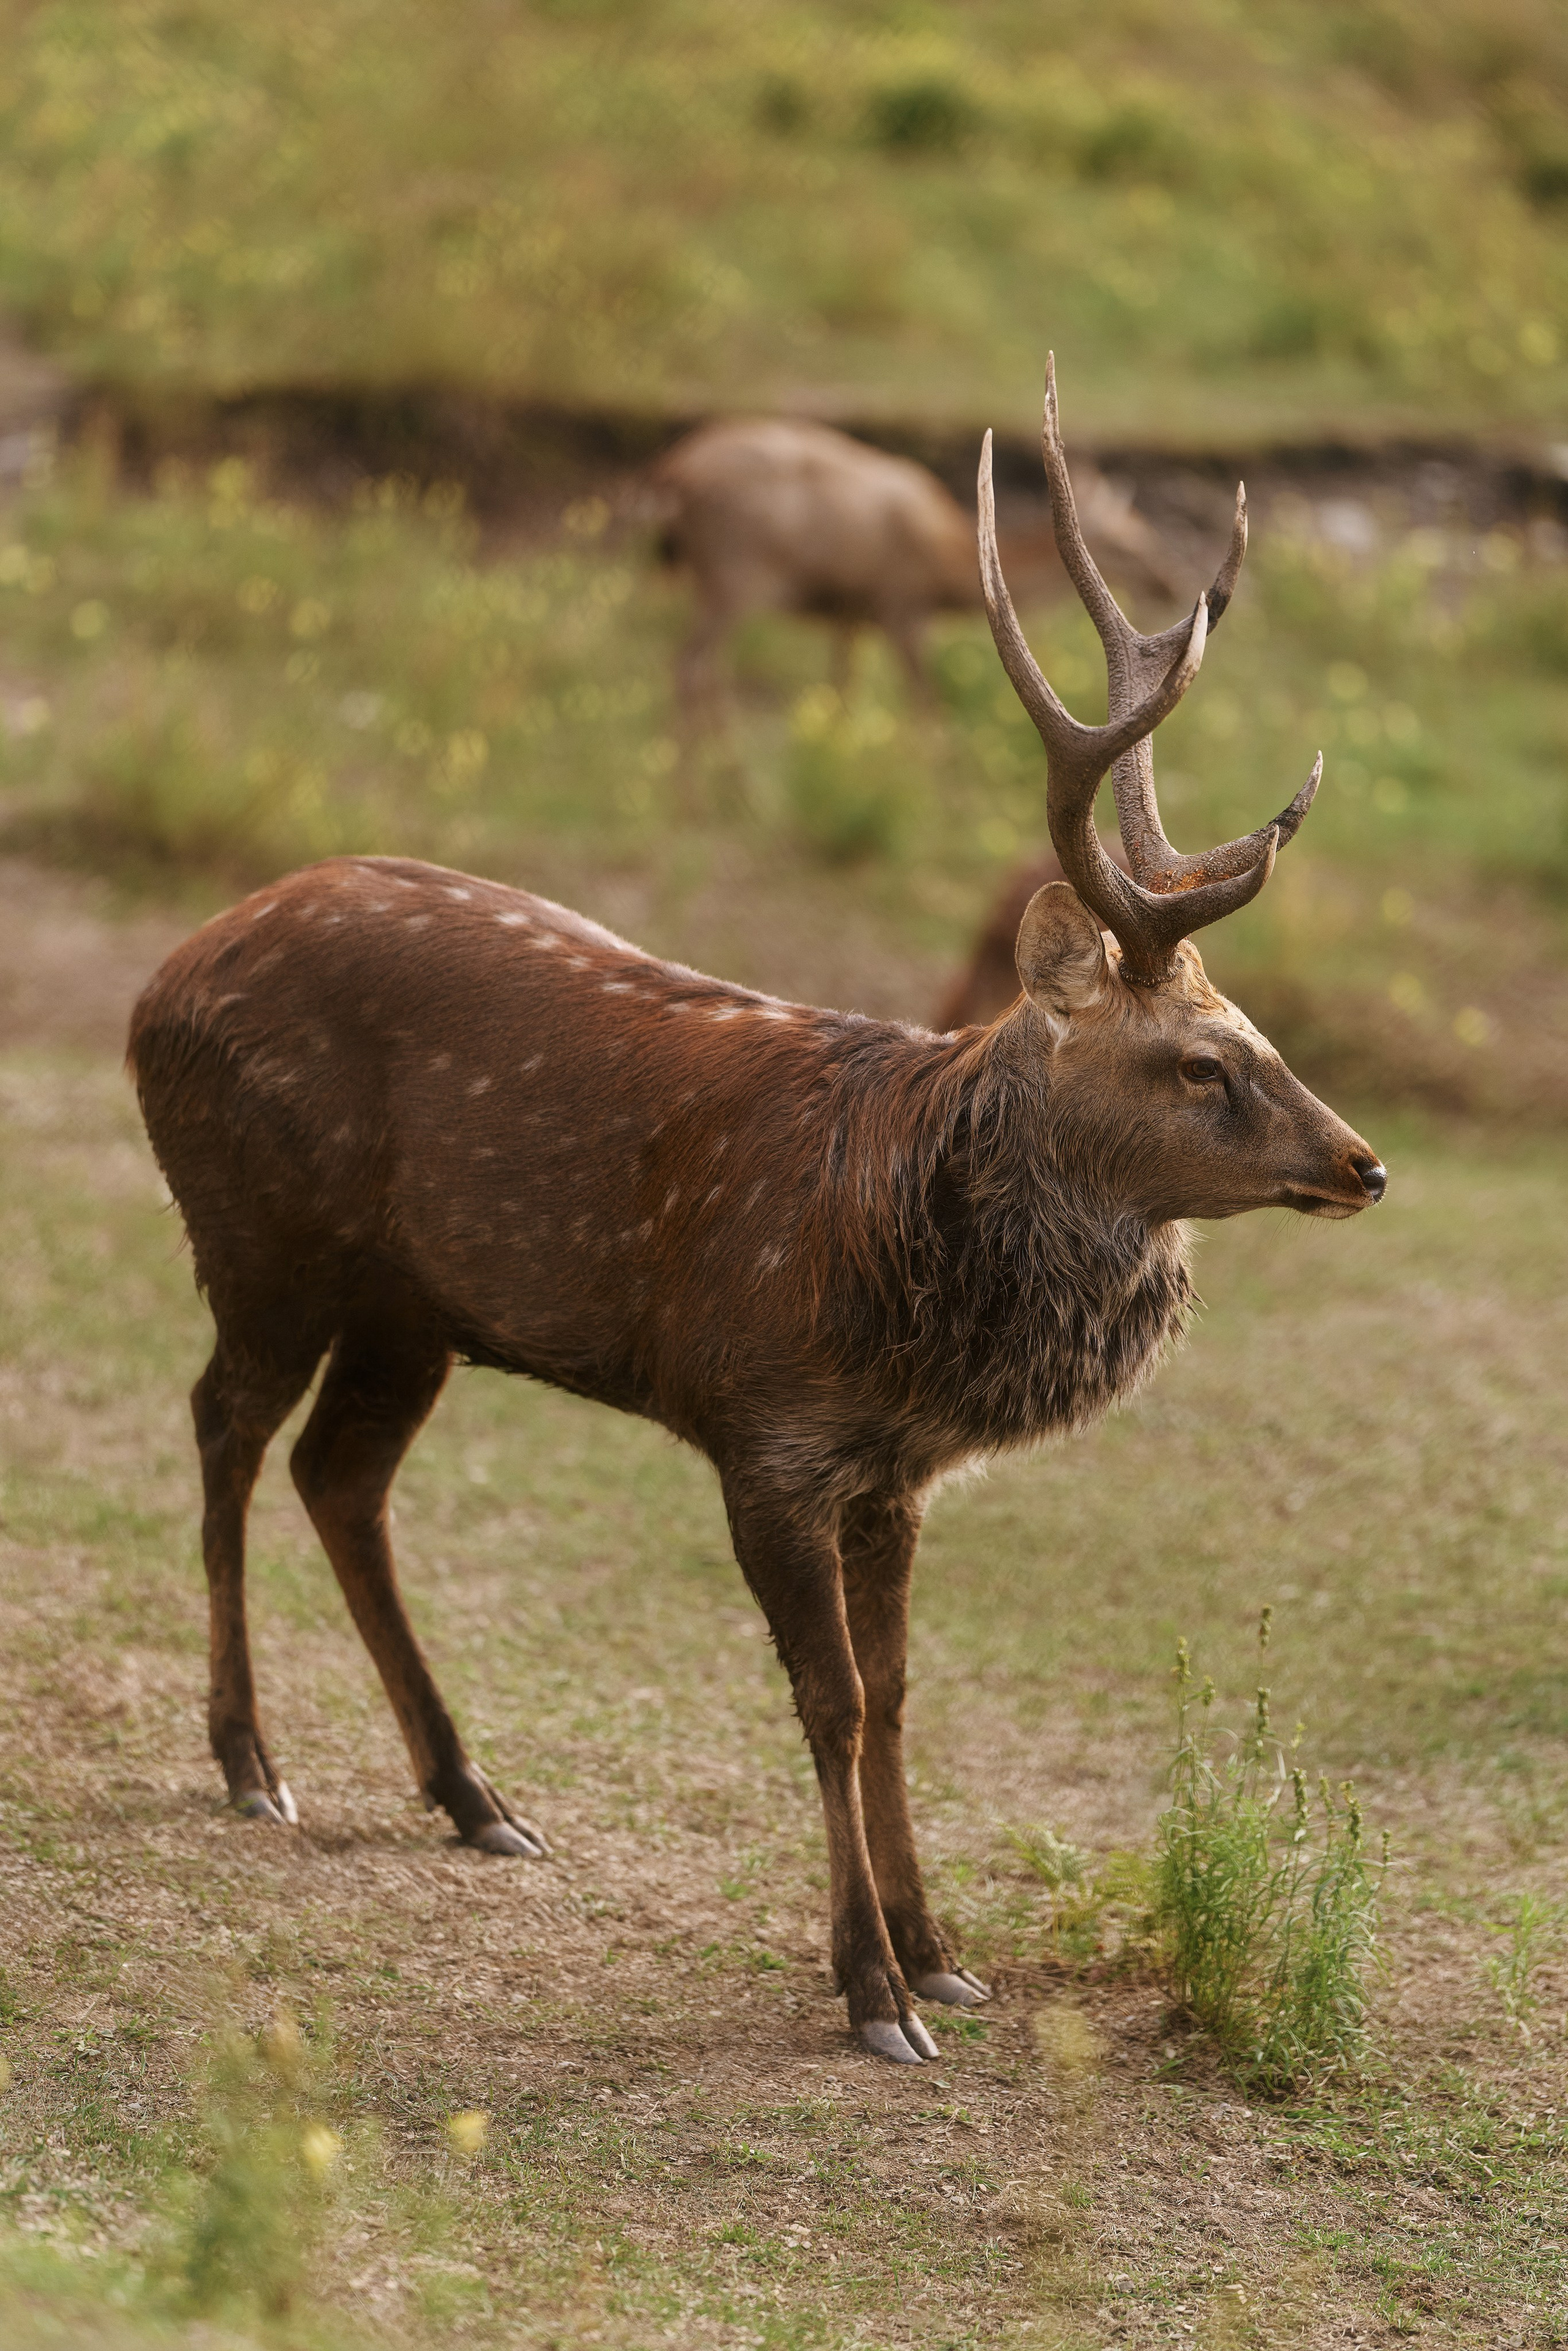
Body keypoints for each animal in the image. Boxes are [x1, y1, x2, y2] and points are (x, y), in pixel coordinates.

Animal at [651, 413, 1182, 711]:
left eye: (1147, 529)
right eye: (1129, 544)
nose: (1169, 582)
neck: (943, 573)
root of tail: (673, 475)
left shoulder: (852, 612)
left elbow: (841, 689)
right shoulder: (899, 603)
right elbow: (926, 699)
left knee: (709, 673)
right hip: (733, 574)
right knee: (688, 668)